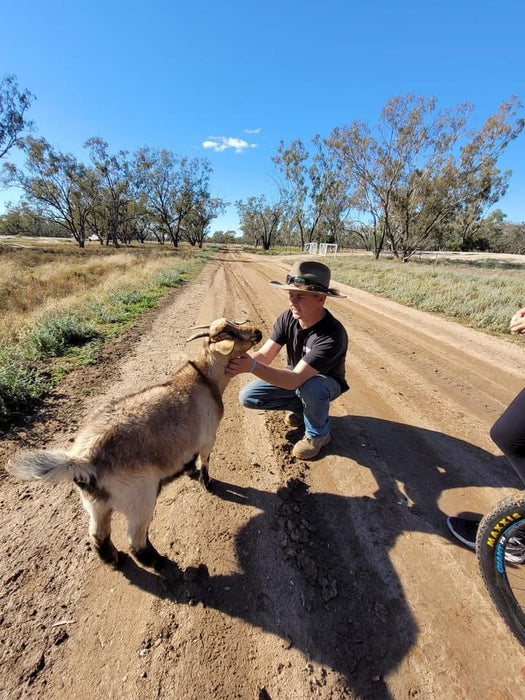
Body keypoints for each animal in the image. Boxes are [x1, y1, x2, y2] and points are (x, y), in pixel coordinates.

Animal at [7, 318, 260, 568]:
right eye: (230, 334)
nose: (257, 331)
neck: (206, 379)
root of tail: (83, 459)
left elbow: (189, 459)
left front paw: (189, 471)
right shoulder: (208, 437)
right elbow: (205, 461)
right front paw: (207, 482)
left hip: (96, 503)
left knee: (97, 533)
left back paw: (113, 559)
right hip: (140, 497)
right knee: (136, 540)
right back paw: (160, 562)